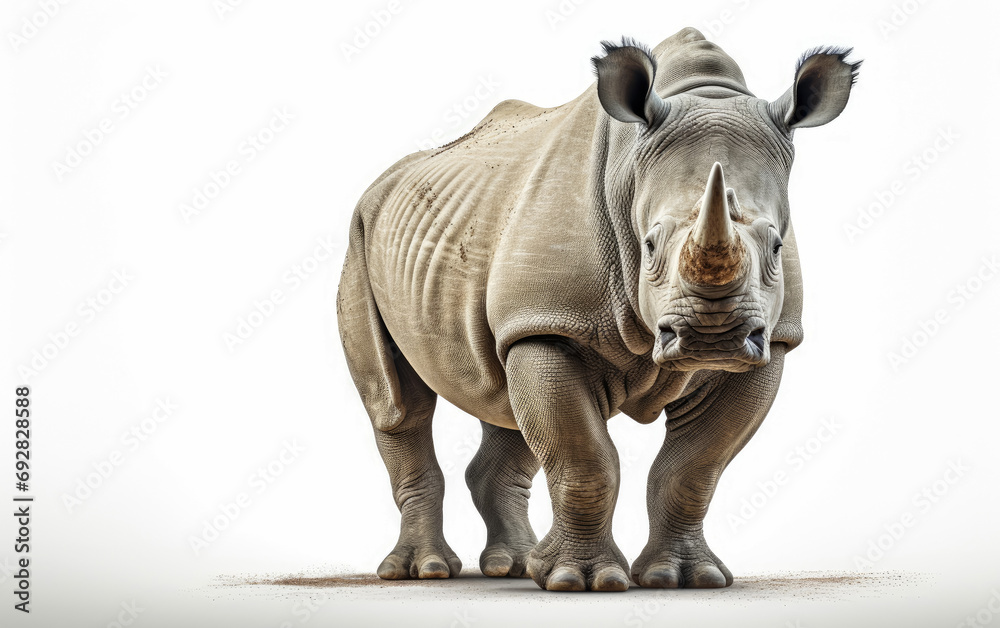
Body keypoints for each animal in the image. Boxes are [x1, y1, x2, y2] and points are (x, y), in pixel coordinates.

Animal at [337, 27, 859, 591]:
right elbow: (584, 458)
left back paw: (514, 566)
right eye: (649, 246)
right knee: (397, 404)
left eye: (777, 248)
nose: (713, 339)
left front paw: (685, 577)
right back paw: (422, 571)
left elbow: (694, 468)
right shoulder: (551, 322)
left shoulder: (774, 339)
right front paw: (580, 581)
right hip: (362, 234)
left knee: (503, 395)